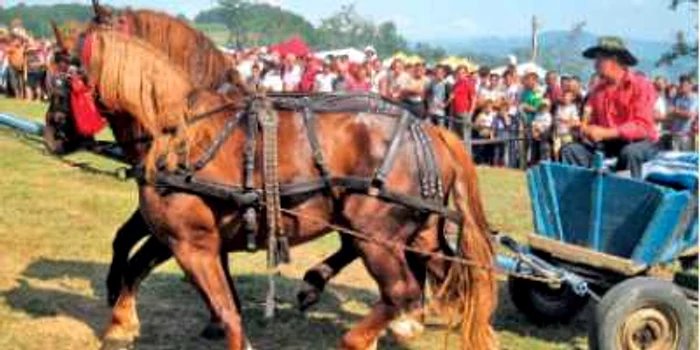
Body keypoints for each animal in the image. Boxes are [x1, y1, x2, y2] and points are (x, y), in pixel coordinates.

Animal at [47, 29, 498, 350]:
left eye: (58, 79)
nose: (52, 133)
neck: (180, 136)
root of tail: (431, 129)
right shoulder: (178, 236)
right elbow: (139, 265)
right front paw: (121, 323)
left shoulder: (190, 242)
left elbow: (223, 306)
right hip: (417, 230)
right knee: (445, 272)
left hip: (376, 235)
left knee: (402, 289)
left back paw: (357, 333)